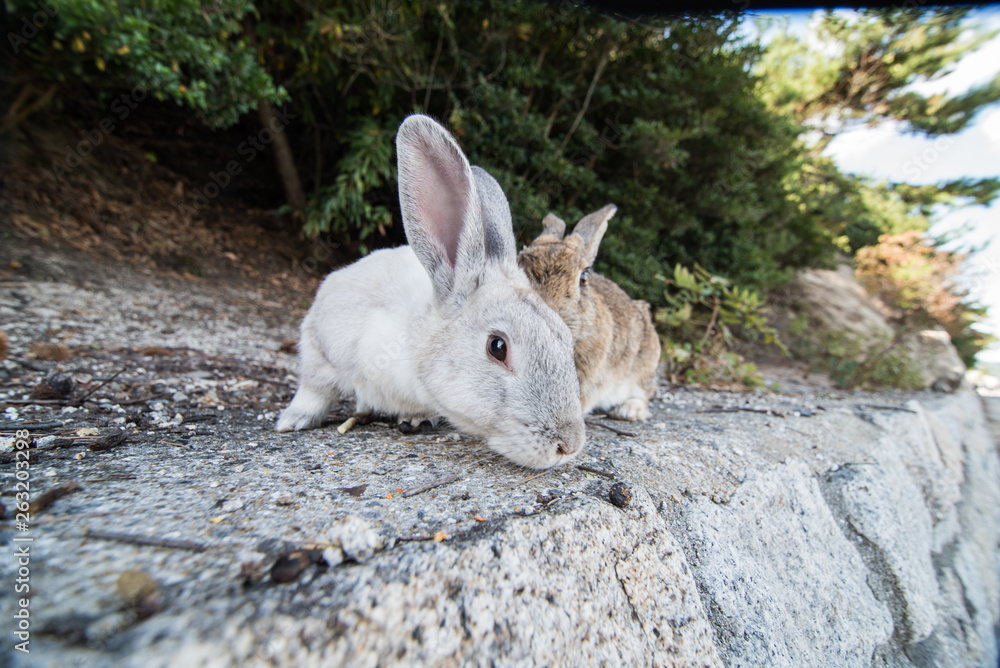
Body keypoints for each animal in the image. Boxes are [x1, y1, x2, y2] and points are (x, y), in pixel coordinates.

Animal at [276, 114, 586, 469]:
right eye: (497, 347)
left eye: (566, 338)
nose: (569, 444)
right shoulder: (320, 342)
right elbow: (314, 387)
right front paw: (292, 420)